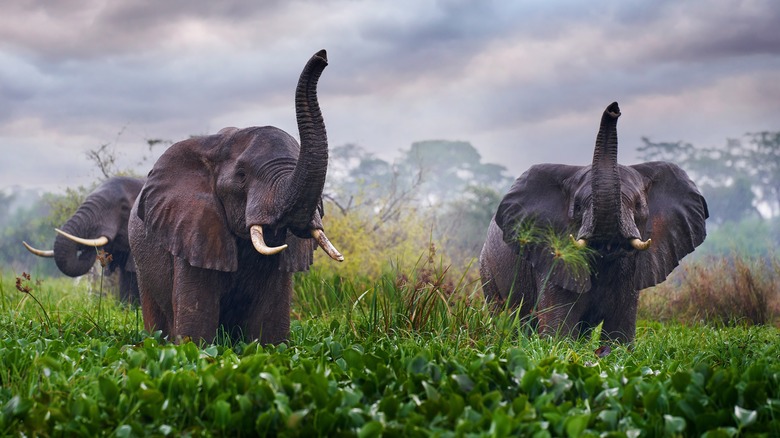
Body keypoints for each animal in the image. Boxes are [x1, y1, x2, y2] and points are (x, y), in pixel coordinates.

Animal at [478, 102, 708, 342]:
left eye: (637, 206)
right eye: (578, 207)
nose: (614, 109)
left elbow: (619, 335)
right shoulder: (553, 260)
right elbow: (559, 332)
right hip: (487, 270)